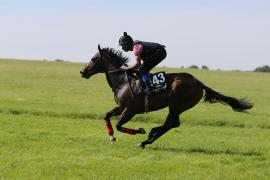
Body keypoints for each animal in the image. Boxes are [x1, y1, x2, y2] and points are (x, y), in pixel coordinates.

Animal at [80, 44, 253, 148]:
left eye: (93, 59)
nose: (83, 72)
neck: (122, 80)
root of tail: (199, 83)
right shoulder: (121, 107)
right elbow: (107, 116)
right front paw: (112, 137)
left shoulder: (131, 109)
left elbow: (119, 125)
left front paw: (139, 131)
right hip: (178, 106)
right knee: (172, 123)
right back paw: (151, 135)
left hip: (175, 103)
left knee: (172, 122)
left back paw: (146, 139)